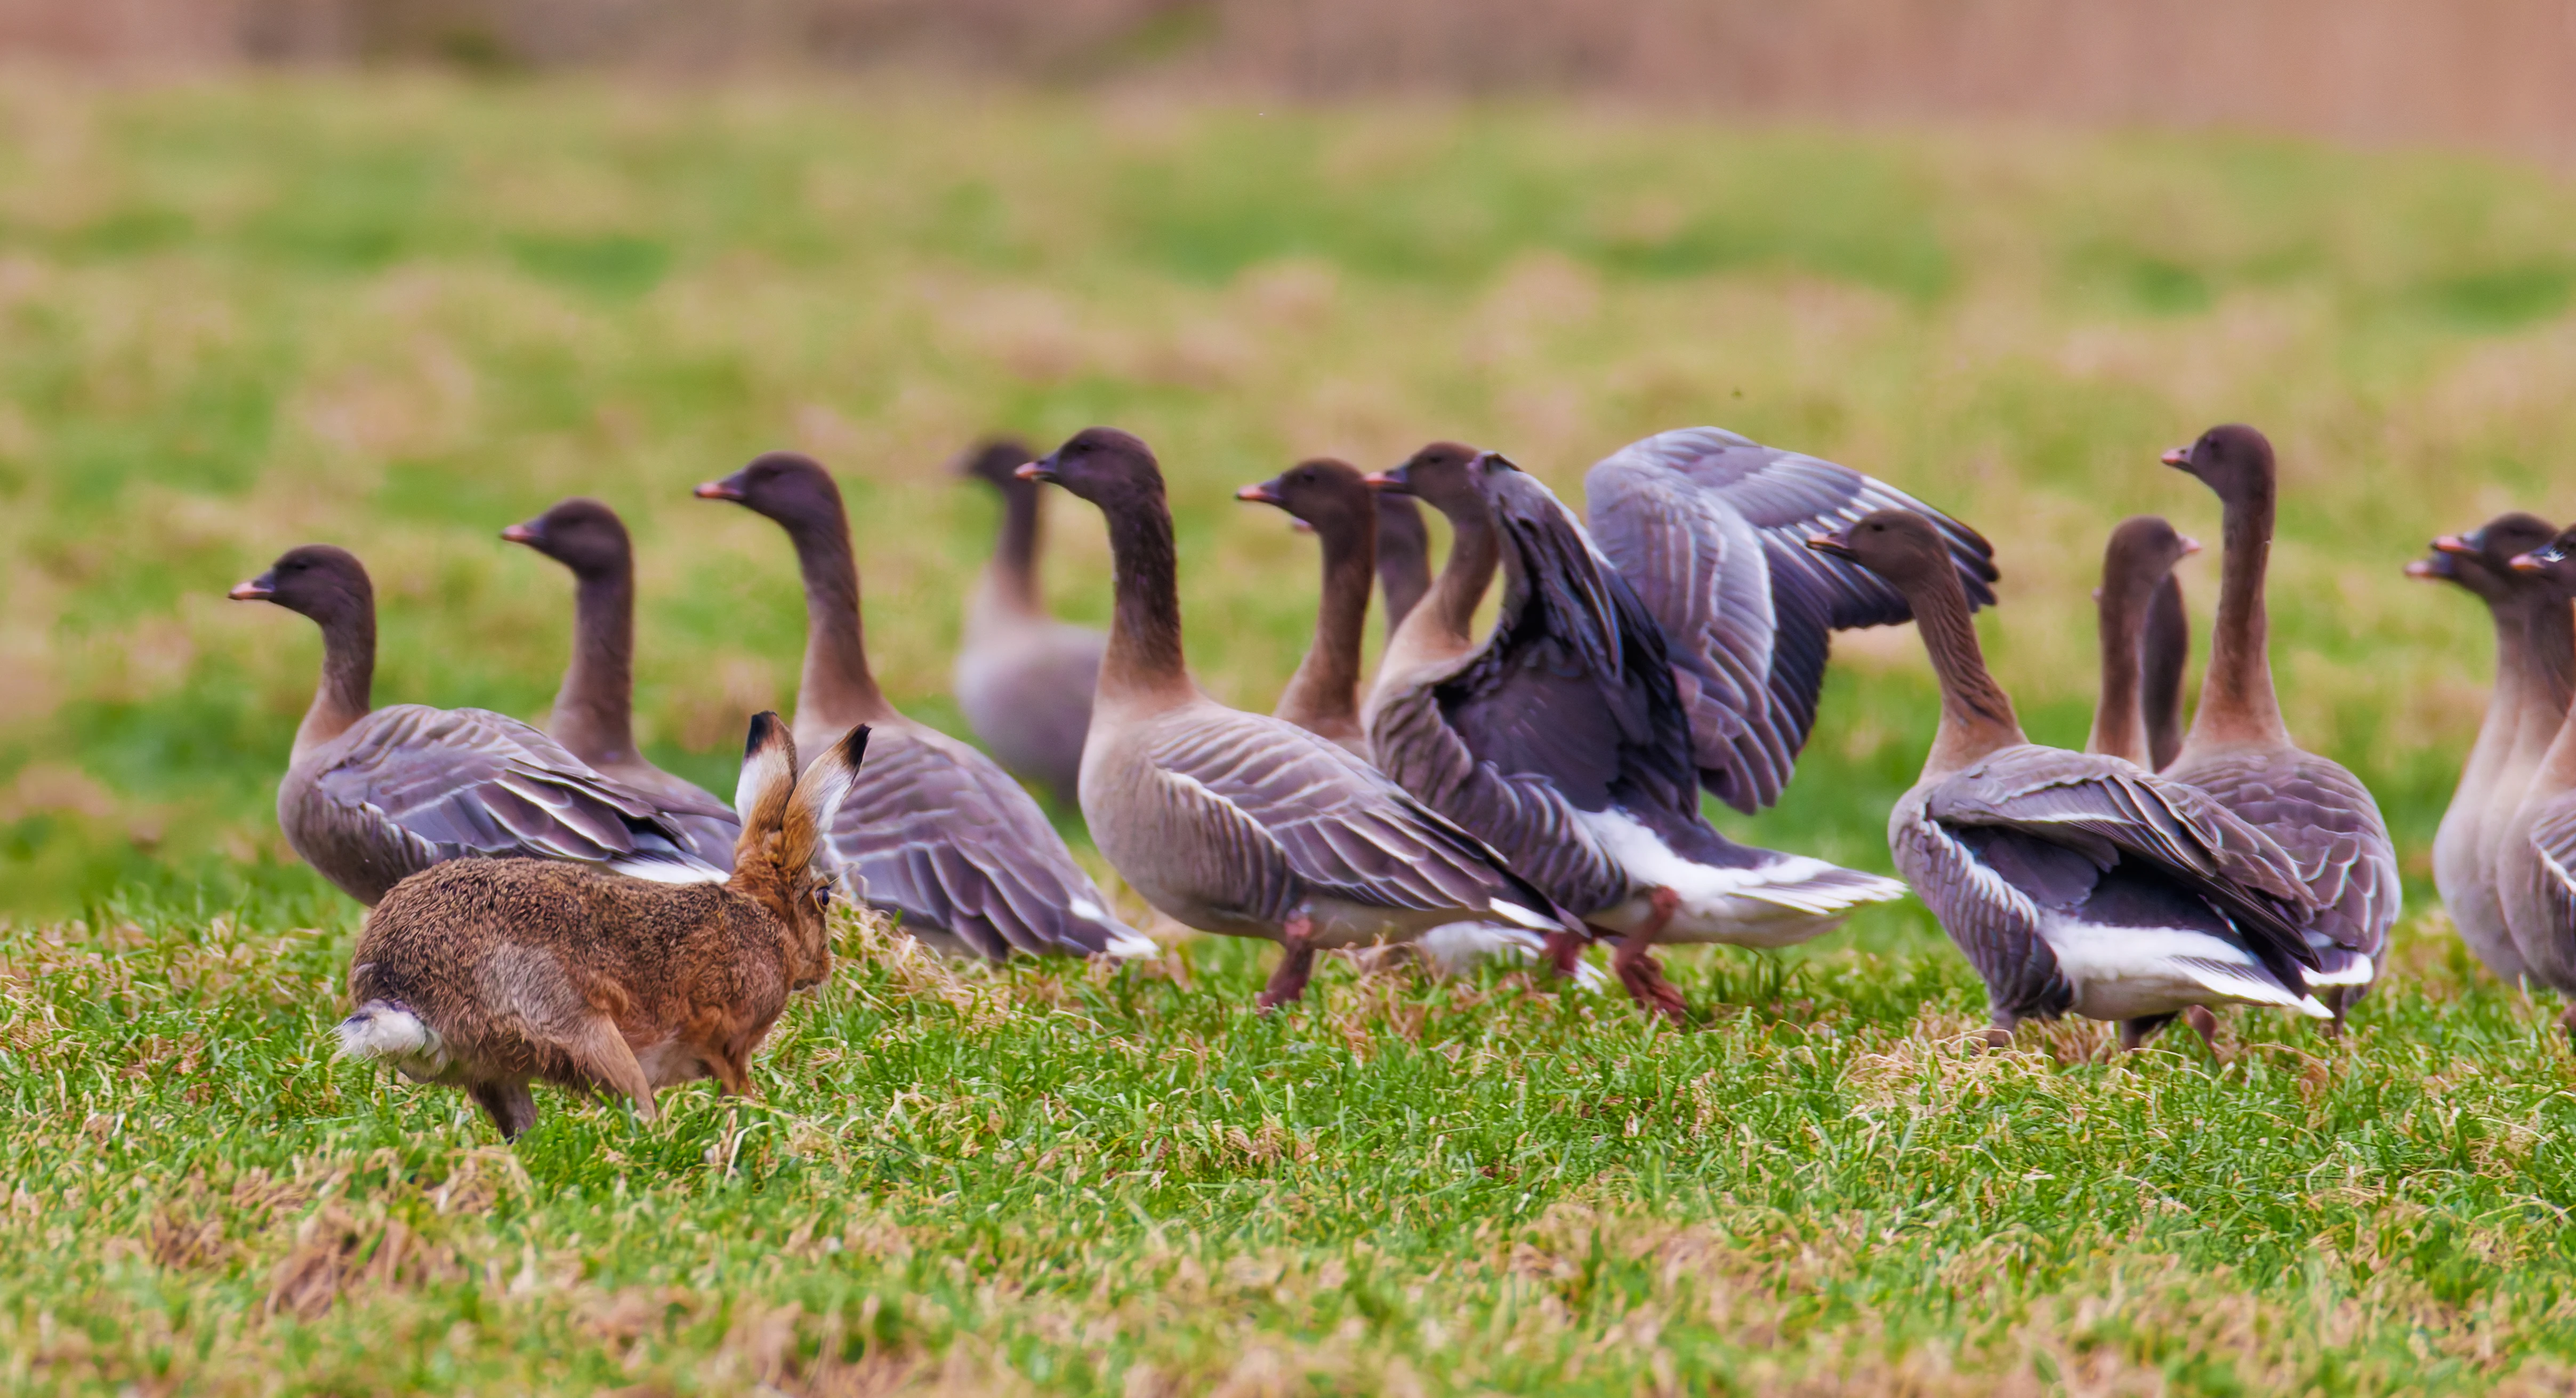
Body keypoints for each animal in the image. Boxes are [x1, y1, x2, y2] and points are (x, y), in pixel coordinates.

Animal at [335, 713, 867, 1139]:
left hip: (495, 1072)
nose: (823, 967)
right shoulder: (725, 1041)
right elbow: (736, 1087)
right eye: (823, 897)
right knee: (636, 1108)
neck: (761, 915)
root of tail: (400, 989)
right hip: (589, 1036)